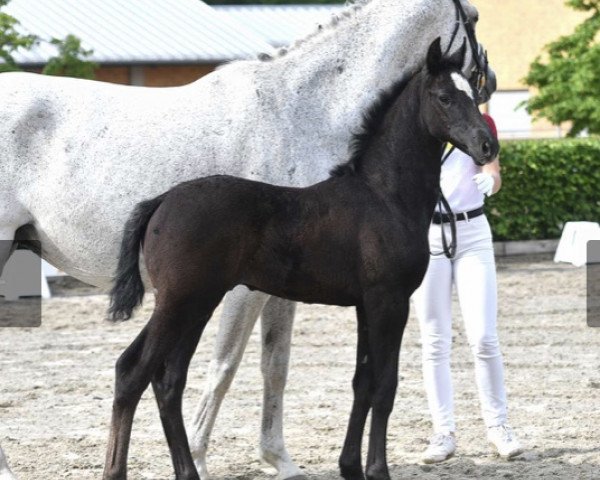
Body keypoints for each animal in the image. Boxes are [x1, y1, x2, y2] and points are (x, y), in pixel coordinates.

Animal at [105, 39, 500, 480]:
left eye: (473, 95)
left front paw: (350, 466)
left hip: (195, 305)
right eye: (445, 98)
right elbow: (385, 386)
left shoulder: (366, 305)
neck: (384, 196)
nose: (488, 146)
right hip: (180, 302)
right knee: (133, 373)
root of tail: (161, 201)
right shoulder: (389, 301)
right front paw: (377, 469)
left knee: (167, 380)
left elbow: (362, 383)